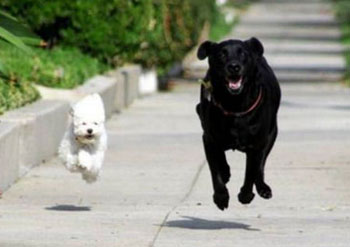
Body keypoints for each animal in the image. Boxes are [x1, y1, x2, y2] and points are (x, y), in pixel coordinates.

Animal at [197, 37, 282, 210]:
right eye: (222, 54)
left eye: (243, 53)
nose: (234, 66)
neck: (234, 104)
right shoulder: (209, 139)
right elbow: (215, 168)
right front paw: (221, 196)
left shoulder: (256, 144)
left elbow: (251, 171)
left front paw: (246, 195)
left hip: (271, 135)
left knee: (260, 165)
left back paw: (262, 187)